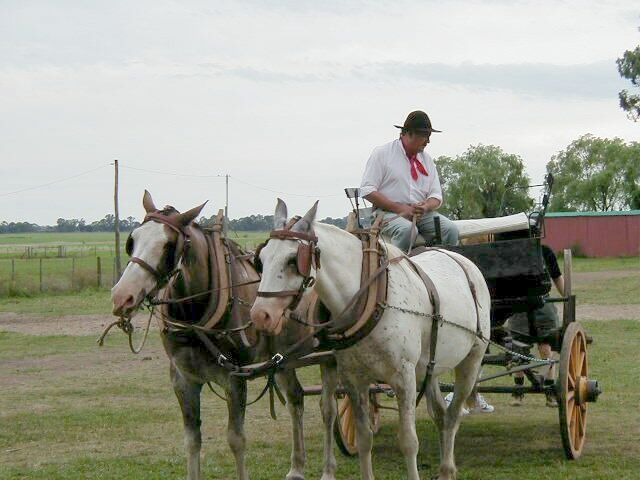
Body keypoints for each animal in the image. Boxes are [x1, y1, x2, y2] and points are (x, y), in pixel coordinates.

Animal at [250, 200, 490, 480]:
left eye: (292, 260)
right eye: (261, 260)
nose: (260, 315)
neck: (372, 297)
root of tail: (462, 260)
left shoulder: (404, 379)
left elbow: (409, 441)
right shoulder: (354, 379)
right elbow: (364, 438)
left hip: (471, 361)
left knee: (452, 417)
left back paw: (447, 468)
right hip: (430, 367)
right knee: (440, 415)